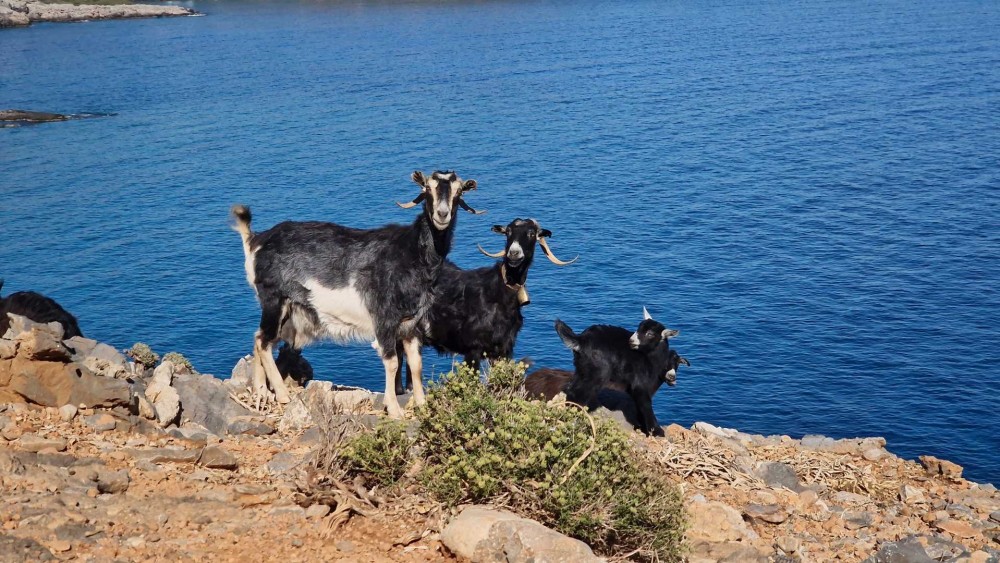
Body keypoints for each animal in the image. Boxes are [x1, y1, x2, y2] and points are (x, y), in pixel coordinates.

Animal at [234, 172, 484, 418]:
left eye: (458, 192)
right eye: (427, 189)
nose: (442, 214)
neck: (412, 253)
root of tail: (255, 241)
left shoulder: (412, 323)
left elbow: (416, 363)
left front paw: (422, 405)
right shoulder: (384, 319)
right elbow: (392, 362)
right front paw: (394, 409)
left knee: (260, 337)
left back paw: (261, 391)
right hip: (275, 298)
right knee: (264, 341)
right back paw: (282, 394)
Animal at [392, 218, 576, 394]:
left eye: (531, 234)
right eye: (508, 232)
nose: (514, 253)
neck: (499, 293)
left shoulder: (504, 349)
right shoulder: (472, 347)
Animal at [552, 308, 684, 436]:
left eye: (650, 333)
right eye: (638, 328)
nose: (631, 341)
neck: (648, 357)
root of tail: (581, 340)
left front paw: (642, 428)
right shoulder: (640, 384)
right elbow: (645, 404)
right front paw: (657, 431)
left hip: (582, 370)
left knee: (572, 389)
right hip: (597, 372)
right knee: (579, 393)